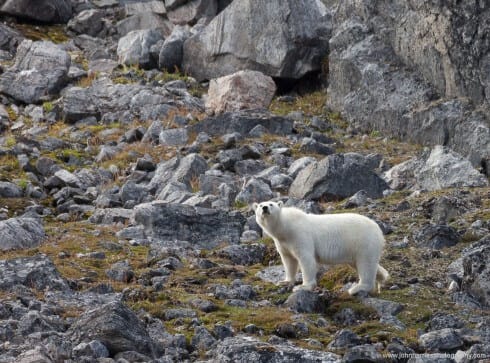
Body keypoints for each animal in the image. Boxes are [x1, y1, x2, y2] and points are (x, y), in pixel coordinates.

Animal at [255, 202, 388, 296]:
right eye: (260, 205)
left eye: (271, 204)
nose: (265, 208)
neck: (285, 226)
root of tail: (379, 231)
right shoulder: (283, 242)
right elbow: (289, 261)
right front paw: (285, 281)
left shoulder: (300, 235)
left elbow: (306, 259)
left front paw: (303, 286)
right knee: (366, 264)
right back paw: (382, 278)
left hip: (363, 242)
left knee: (365, 264)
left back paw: (357, 288)